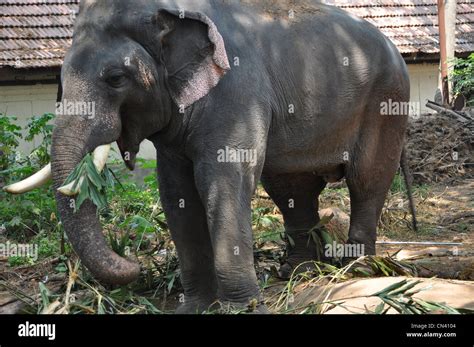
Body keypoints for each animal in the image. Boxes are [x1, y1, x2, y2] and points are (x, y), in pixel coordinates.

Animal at [6, 0, 414, 314]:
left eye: (116, 78)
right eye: (59, 82)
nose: (134, 265)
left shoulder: (237, 90)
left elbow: (222, 180)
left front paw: (241, 309)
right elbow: (176, 193)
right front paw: (194, 307)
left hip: (387, 101)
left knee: (367, 181)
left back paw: (359, 270)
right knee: (291, 189)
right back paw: (298, 273)